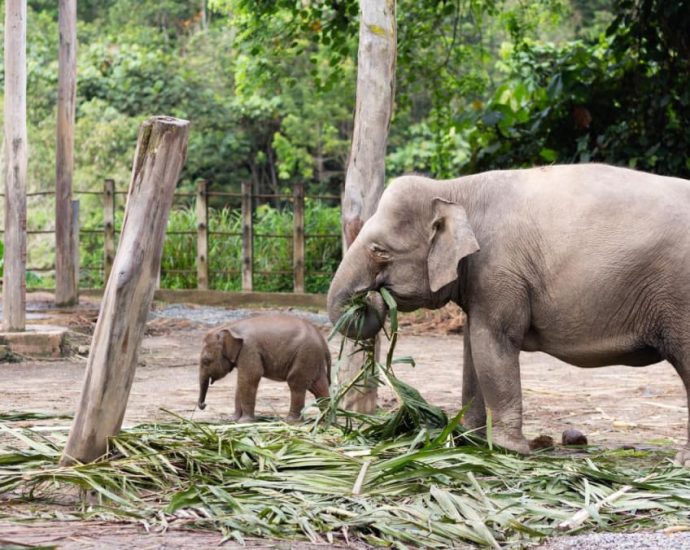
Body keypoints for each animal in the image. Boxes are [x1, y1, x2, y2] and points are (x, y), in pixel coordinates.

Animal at [196, 314, 330, 422]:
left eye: (206, 361)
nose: (203, 405)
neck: (230, 327)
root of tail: (322, 339)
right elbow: (241, 383)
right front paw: (233, 419)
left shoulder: (249, 349)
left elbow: (249, 378)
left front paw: (244, 421)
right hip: (312, 358)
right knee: (319, 386)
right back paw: (325, 420)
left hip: (305, 354)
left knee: (296, 383)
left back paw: (290, 421)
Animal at [326, 164, 688, 466]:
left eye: (380, 250)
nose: (371, 297)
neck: (455, 189)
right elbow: (472, 347)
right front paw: (467, 440)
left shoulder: (499, 269)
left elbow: (493, 342)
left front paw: (508, 448)